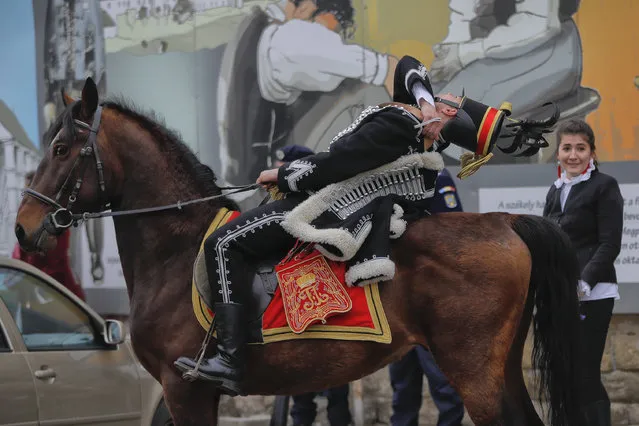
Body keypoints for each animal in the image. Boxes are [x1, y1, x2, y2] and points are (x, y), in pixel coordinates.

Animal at [15, 77, 584, 426]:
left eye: (61, 149)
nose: (22, 229)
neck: (174, 252)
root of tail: (504, 220)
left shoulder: (185, 391)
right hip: (500, 367)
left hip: (473, 370)